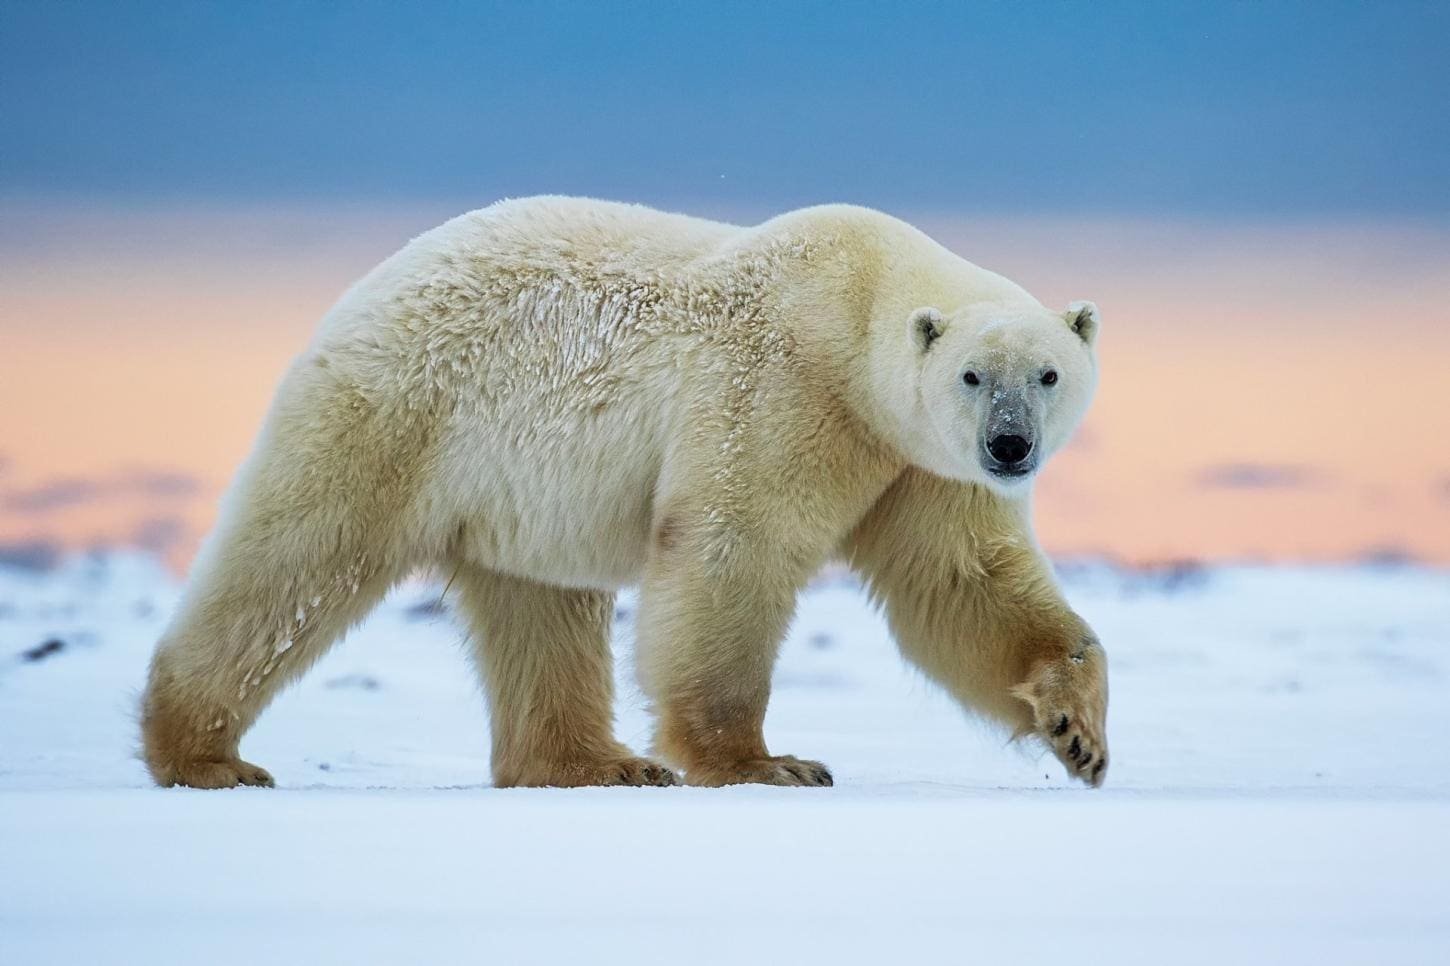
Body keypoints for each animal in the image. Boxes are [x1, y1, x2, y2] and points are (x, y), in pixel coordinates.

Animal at [140, 196, 1108, 790]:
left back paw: (592, 762)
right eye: (974, 376)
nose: (1010, 446)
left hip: (520, 493)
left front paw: (1078, 732)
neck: (855, 304)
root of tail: (364, 290)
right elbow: (732, 549)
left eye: (1049, 373)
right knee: (296, 564)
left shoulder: (917, 465)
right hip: (401, 414)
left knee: (542, 610)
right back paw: (206, 754)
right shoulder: (783, 390)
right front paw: (768, 763)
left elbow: (958, 582)